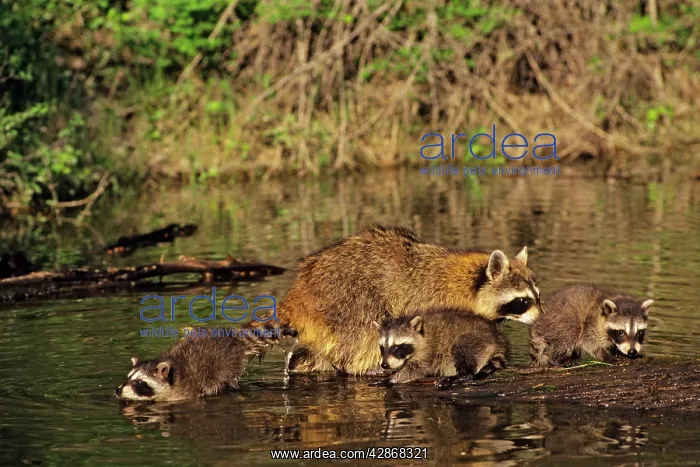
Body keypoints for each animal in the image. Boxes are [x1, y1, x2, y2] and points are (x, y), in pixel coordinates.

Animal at [116, 322, 294, 402]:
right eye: (128, 377)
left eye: (140, 382)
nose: (118, 390)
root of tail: (233, 338)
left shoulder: (183, 392)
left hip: (225, 365)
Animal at [279, 225, 539, 375]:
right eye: (522, 301)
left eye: (537, 296)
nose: (540, 319)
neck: (468, 281)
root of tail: (298, 292)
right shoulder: (435, 302)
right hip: (349, 298)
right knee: (363, 333)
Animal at [370, 307, 509, 389]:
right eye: (382, 348)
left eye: (397, 347)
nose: (384, 365)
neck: (421, 334)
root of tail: (497, 339)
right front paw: (382, 371)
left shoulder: (428, 351)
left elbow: (416, 369)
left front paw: (391, 379)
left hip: (475, 339)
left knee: (461, 348)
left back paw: (460, 376)